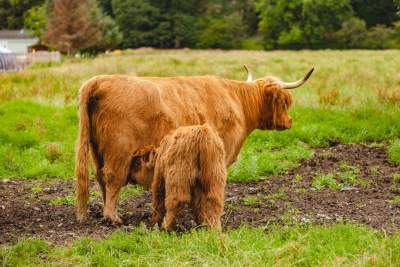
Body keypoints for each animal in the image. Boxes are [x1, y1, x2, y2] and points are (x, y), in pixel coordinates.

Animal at [74, 67, 312, 224]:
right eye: (285, 102)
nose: (289, 122)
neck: (238, 104)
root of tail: (99, 80)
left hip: (97, 151)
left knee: (101, 178)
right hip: (119, 149)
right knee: (113, 177)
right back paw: (113, 217)